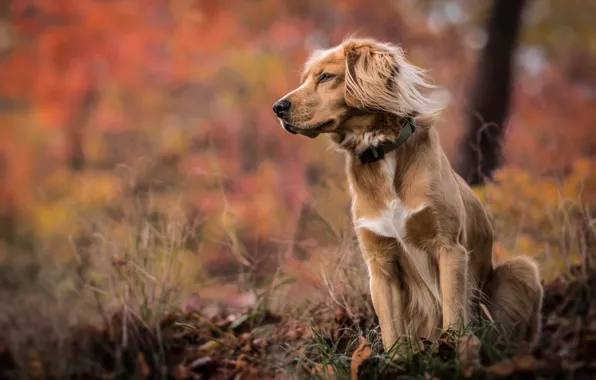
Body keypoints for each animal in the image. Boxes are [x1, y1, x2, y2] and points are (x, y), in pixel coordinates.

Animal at [272, 37, 544, 350]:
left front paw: (453, 350)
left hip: (521, 269)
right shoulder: (380, 264)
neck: (380, 152)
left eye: (326, 77)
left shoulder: (449, 248)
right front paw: (399, 357)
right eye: (304, 79)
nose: (278, 107)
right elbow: (392, 331)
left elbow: (453, 315)